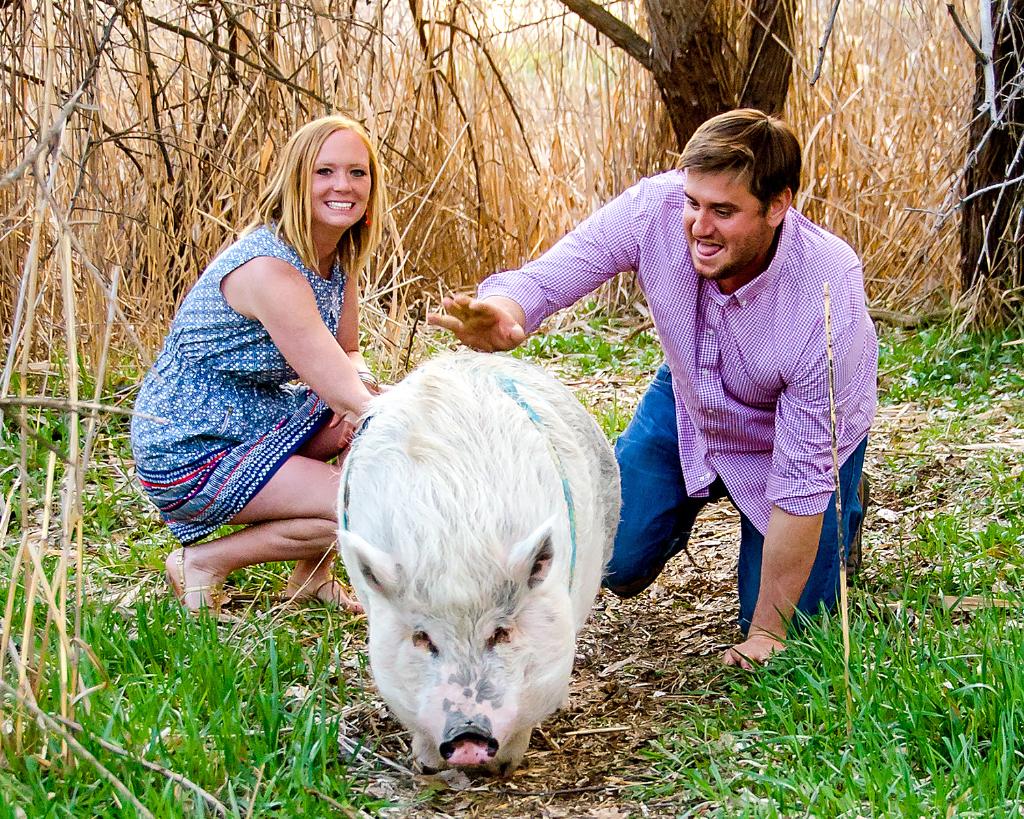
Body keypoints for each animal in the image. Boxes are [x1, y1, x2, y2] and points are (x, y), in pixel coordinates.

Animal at [336, 351, 620, 775]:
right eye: (423, 638)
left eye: (500, 633)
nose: (467, 737)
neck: (453, 542)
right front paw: (426, 766)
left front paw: (506, 768)